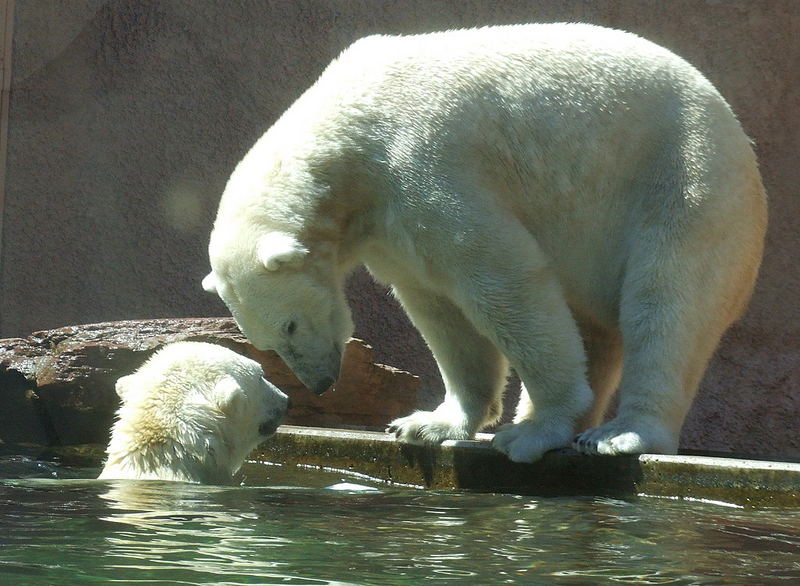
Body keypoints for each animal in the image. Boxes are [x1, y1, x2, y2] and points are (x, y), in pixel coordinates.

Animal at [203, 24, 764, 460]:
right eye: (267, 344)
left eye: (291, 325)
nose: (321, 383)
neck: (346, 135)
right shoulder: (385, 226)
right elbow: (439, 310)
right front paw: (426, 423)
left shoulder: (424, 164)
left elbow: (501, 278)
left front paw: (535, 429)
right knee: (598, 326)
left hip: (686, 183)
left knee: (668, 304)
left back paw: (614, 434)